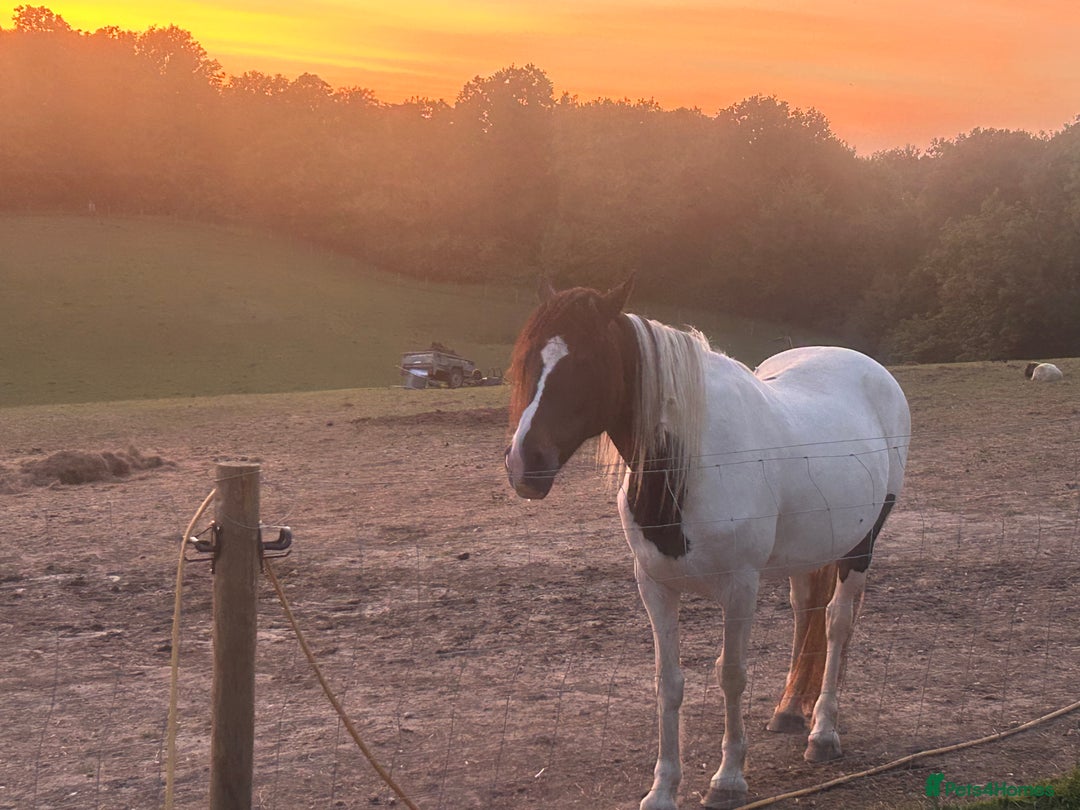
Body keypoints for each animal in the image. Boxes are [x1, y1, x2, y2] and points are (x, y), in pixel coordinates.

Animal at [504, 278, 910, 810]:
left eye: (588, 360)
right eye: (527, 358)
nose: (523, 464)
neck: (689, 466)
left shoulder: (740, 589)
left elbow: (730, 675)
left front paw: (729, 779)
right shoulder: (654, 587)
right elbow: (668, 682)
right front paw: (661, 789)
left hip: (860, 547)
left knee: (837, 625)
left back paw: (823, 732)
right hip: (810, 552)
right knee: (807, 614)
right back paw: (788, 712)